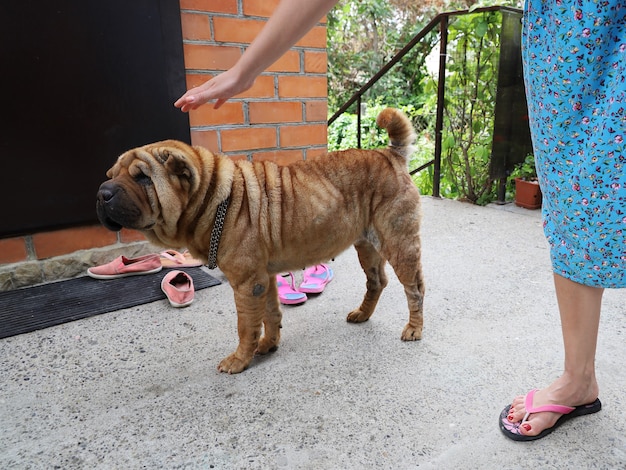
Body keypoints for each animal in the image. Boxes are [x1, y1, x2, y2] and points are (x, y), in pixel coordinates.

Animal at [95, 107, 422, 374]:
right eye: (111, 173)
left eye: (142, 178)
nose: (101, 193)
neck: (213, 198)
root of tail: (390, 155)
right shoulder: (263, 280)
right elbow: (270, 314)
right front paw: (268, 345)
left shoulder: (246, 283)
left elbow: (245, 325)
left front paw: (240, 360)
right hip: (367, 246)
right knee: (377, 281)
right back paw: (363, 314)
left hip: (400, 243)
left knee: (415, 288)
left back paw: (414, 329)